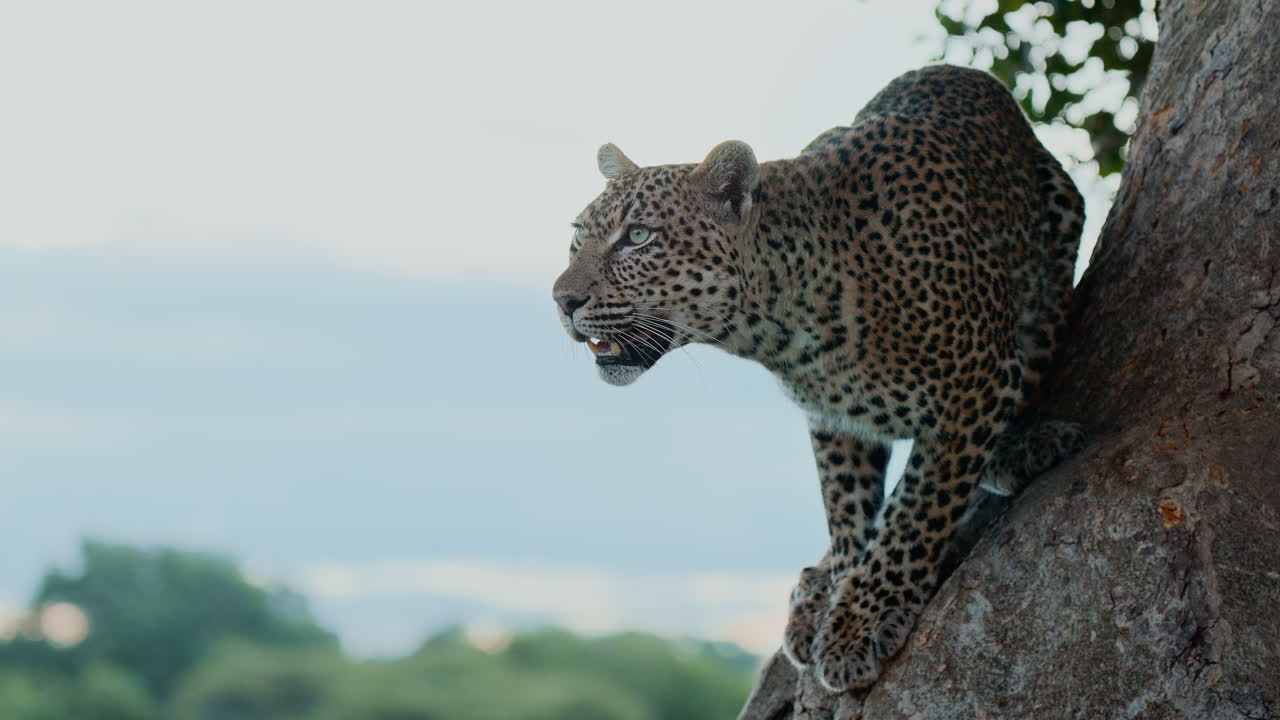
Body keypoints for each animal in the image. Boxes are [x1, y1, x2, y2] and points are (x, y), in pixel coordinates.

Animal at [551, 65, 1086, 692]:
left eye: (637, 237)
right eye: (578, 235)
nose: (561, 300)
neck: (782, 325)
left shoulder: (974, 383)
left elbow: (915, 512)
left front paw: (863, 619)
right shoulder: (833, 415)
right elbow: (847, 508)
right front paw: (841, 591)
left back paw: (1021, 448)